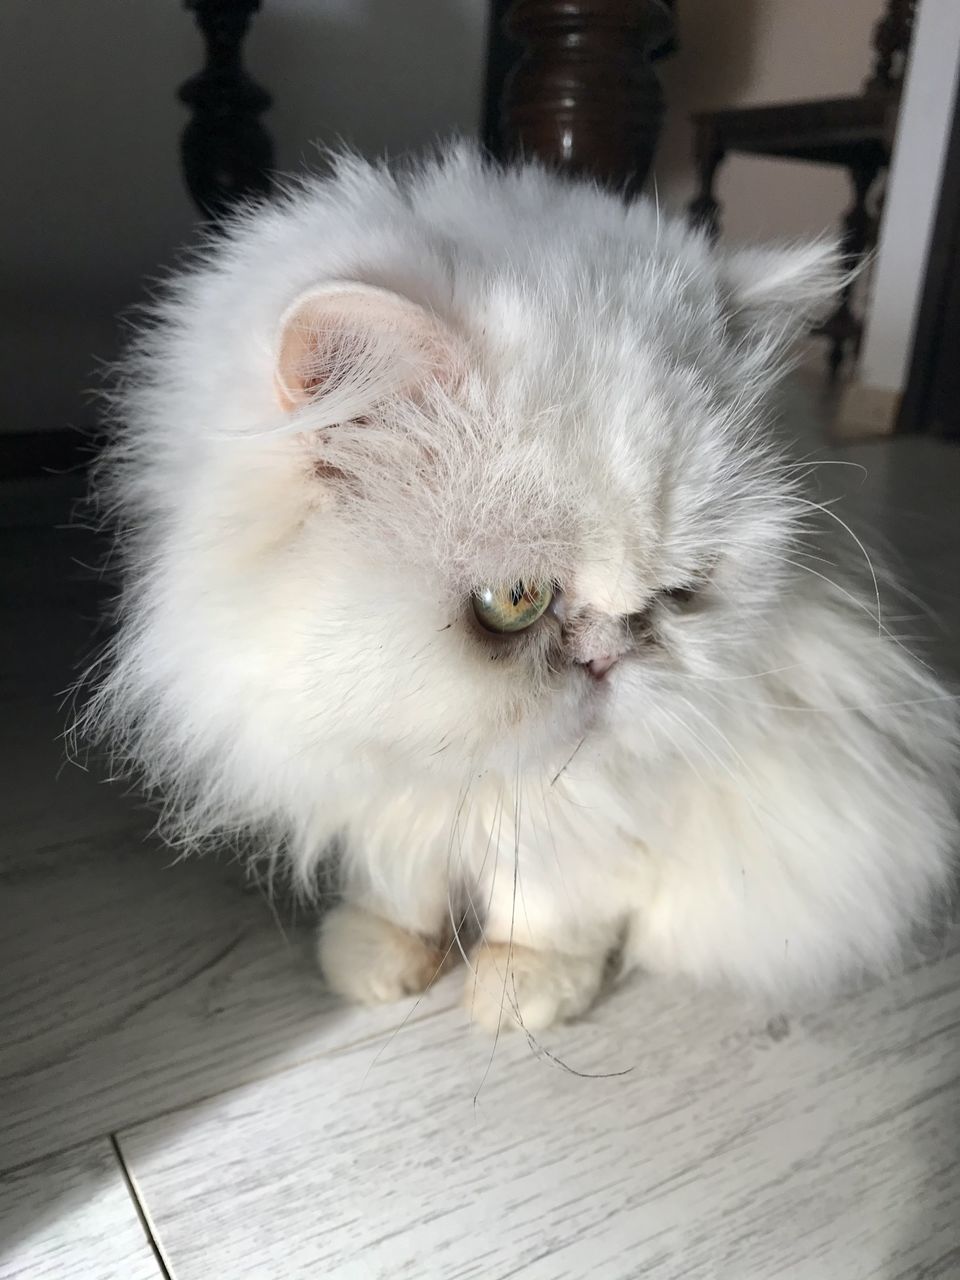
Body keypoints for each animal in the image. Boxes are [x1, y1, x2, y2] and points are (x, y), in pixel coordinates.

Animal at [86, 147, 957, 1029]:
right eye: (516, 601)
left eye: (681, 593)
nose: (609, 658)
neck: (481, 767)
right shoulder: (375, 776)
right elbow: (400, 884)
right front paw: (380, 962)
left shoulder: (601, 811)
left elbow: (549, 904)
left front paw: (520, 993)